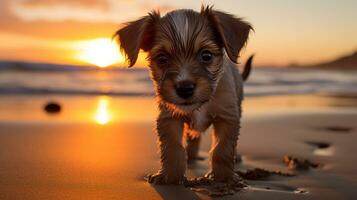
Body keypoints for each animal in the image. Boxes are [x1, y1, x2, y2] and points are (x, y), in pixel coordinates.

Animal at [115, 5, 252, 184]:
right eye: (162, 59)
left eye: (206, 55)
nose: (184, 88)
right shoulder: (170, 117)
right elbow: (173, 147)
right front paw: (170, 176)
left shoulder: (227, 117)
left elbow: (222, 149)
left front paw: (223, 177)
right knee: (193, 138)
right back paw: (192, 156)